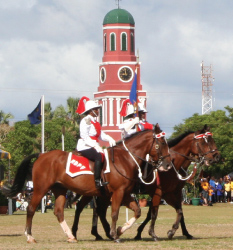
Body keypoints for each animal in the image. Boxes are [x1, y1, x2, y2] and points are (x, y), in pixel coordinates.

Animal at [1, 124, 171, 243]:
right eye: (162, 144)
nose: (168, 164)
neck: (125, 158)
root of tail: (42, 155)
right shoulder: (118, 192)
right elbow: (114, 213)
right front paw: (115, 235)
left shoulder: (125, 193)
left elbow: (137, 211)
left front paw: (120, 230)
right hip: (41, 189)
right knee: (31, 209)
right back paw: (30, 236)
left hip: (60, 190)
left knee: (59, 212)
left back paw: (71, 236)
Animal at [72, 124, 221, 241]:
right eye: (204, 141)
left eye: (211, 139)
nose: (216, 156)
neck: (174, 164)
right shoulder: (161, 193)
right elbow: (154, 213)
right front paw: (152, 233)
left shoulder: (172, 193)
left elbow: (178, 212)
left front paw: (180, 232)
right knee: (85, 208)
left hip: (102, 193)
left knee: (98, 210)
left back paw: (101, 233)